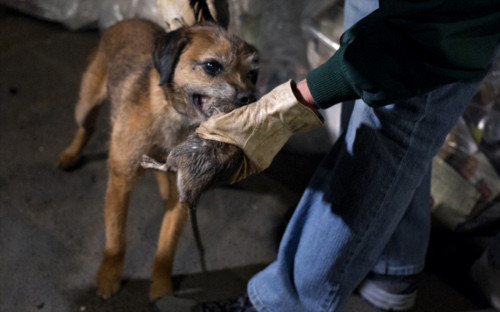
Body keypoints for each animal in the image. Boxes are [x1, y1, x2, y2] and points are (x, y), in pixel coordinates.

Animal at [57, 18, 258, 300]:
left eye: (253, 75)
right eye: (212, 66)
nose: (249, 98)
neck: (172, 116)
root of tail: (125, 21)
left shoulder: (183, 194)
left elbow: (167, 245)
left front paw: (161, 286)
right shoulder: (120, 180)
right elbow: (116, 237)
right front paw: (109, 275)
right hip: (86, 103)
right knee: (86, 127)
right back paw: (71, 154)